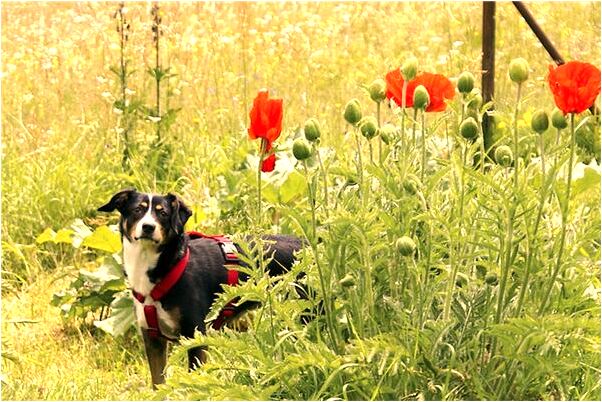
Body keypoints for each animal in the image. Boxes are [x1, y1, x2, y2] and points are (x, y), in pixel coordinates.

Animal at [99, 190, 304, 388]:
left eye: (163, 213)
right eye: (137, 210)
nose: (148, 227)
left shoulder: (195, 336)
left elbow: (193, 382)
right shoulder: (153, 340)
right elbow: (158, 384)